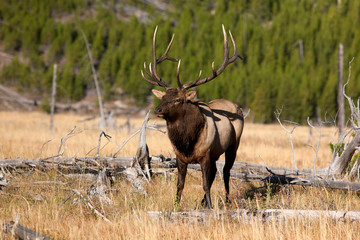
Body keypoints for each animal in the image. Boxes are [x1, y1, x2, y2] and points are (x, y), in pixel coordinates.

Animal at [141, 24, 245, 208]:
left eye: (178, 99)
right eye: (163, 97)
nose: (158, 110)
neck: (187, 143)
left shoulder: (205, 155)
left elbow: (205, 183)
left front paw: (211, 206)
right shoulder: (180, 158)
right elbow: (180, 184)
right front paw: (175, 206)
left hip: (233, 144)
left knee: (226, 171)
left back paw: (225, 200)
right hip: (216, 154)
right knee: (216, 172)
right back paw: (204, 201)